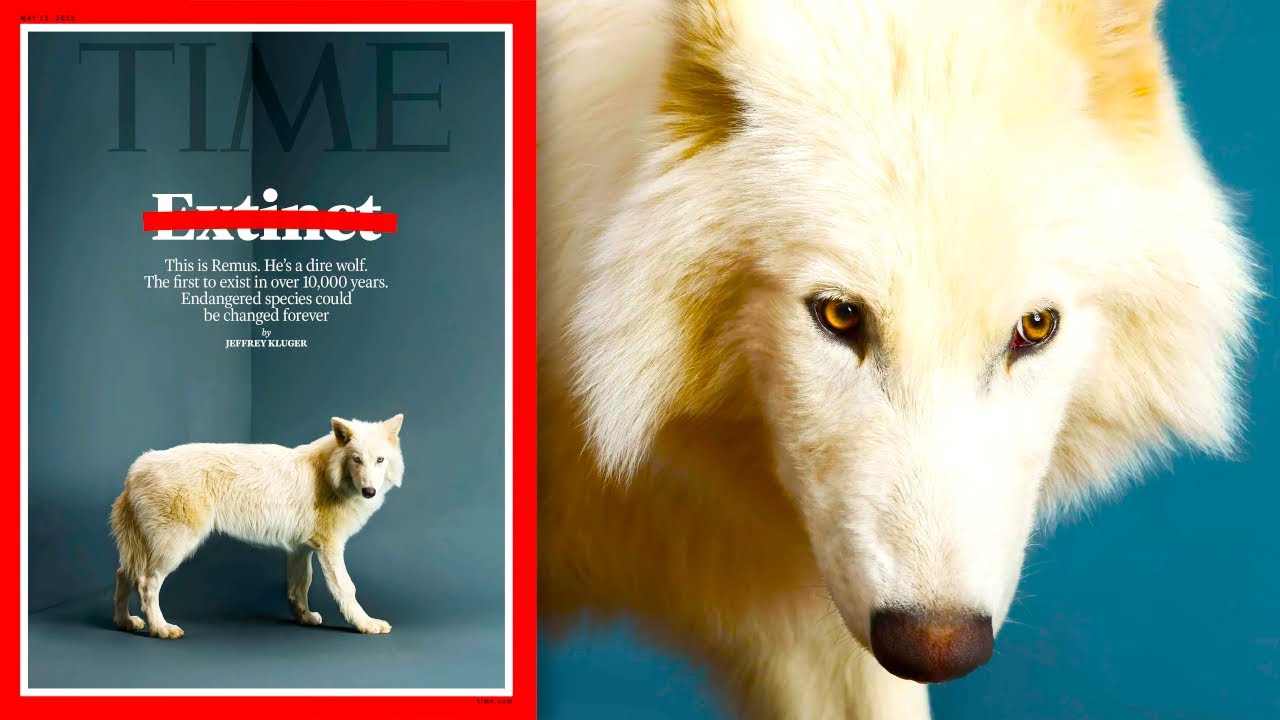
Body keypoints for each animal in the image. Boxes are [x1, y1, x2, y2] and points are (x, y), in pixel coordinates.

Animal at [110, 414, 405, 639]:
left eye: (379, 460)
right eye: (356, 459)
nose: (369, 491)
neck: (328, 475)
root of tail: (135, 469)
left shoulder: (300, 550)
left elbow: (300, 586)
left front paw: (305, 618)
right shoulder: (330, 547)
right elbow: (346, 588)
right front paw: (366, 624)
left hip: (142, 549)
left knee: (123, 574)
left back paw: (125, 622)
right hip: (174, 547)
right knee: (146, 583)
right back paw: (161, 629)